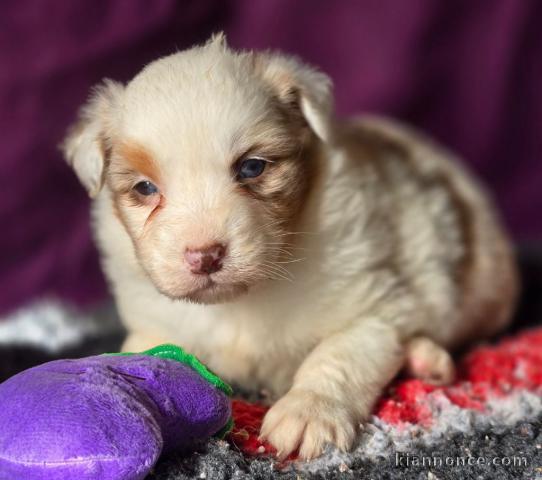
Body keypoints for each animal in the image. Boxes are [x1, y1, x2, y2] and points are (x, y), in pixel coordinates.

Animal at [62, 35, 520, 460]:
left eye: (252, 167)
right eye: (145, 188)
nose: (205, 256)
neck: (242, 301)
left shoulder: (376, 306)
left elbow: (337, 354)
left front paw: (308, 413)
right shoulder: (154, 324)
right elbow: (139, 354)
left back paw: (428, 359)